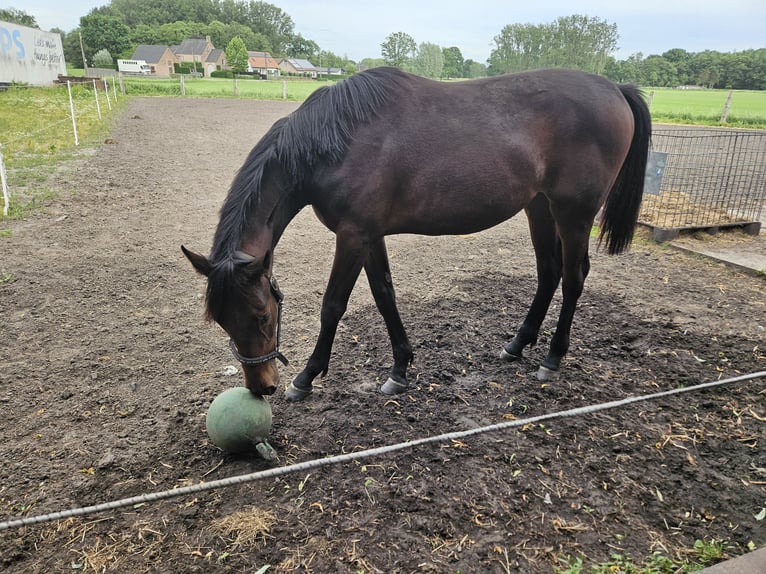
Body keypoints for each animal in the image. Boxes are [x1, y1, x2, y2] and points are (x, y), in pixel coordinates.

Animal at [182, 66, 651, 400]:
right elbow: (385, 296)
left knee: (573, 277)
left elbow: (333, 306)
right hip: (539, 207)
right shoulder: (369, 236)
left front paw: (306, 377)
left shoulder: (352, 236)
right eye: (222, 320)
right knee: (549, 272)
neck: (335, 141)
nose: (261, 386)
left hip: (574, 214)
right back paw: (517, 345)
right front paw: (400, 369)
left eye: (263, 316)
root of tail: (614, 88)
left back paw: (552, 357)